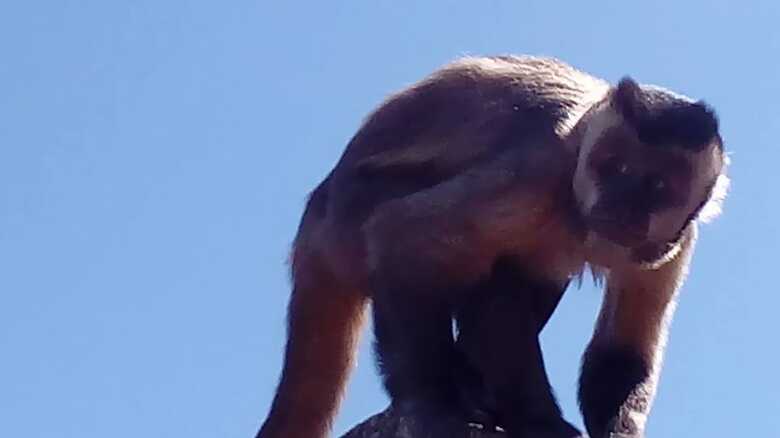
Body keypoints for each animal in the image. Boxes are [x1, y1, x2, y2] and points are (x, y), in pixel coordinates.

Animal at [255, 55, 728, 438]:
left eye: (658, 185)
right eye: (617, 167)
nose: (621, 200)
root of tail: (317, 208)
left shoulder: (677, 240)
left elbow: (622, 354)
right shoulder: (539, 174)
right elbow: (400, 234)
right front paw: (430, 403)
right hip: (347, 222)